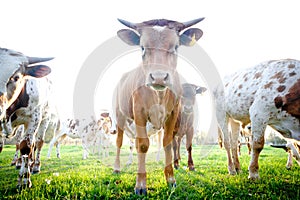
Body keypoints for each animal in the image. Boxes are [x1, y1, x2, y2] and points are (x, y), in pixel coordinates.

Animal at [0, 47, 52, 188]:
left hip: (44, 119)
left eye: (16, 77)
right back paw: (19, 162)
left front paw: (24, 180)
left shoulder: (34, 118)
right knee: (19, 142)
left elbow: (27, 146)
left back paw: (35, 166)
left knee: (37, 143)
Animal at [112, 17, 204, 195]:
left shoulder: (172, 115)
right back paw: (117, 167)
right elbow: (143, 145)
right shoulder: (139, 112)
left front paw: (171, 179)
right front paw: (140, 184)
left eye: (175, 47)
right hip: (120, 116)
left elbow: (168, 144)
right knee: (120, 142)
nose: (159, 77)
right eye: (142, 47)